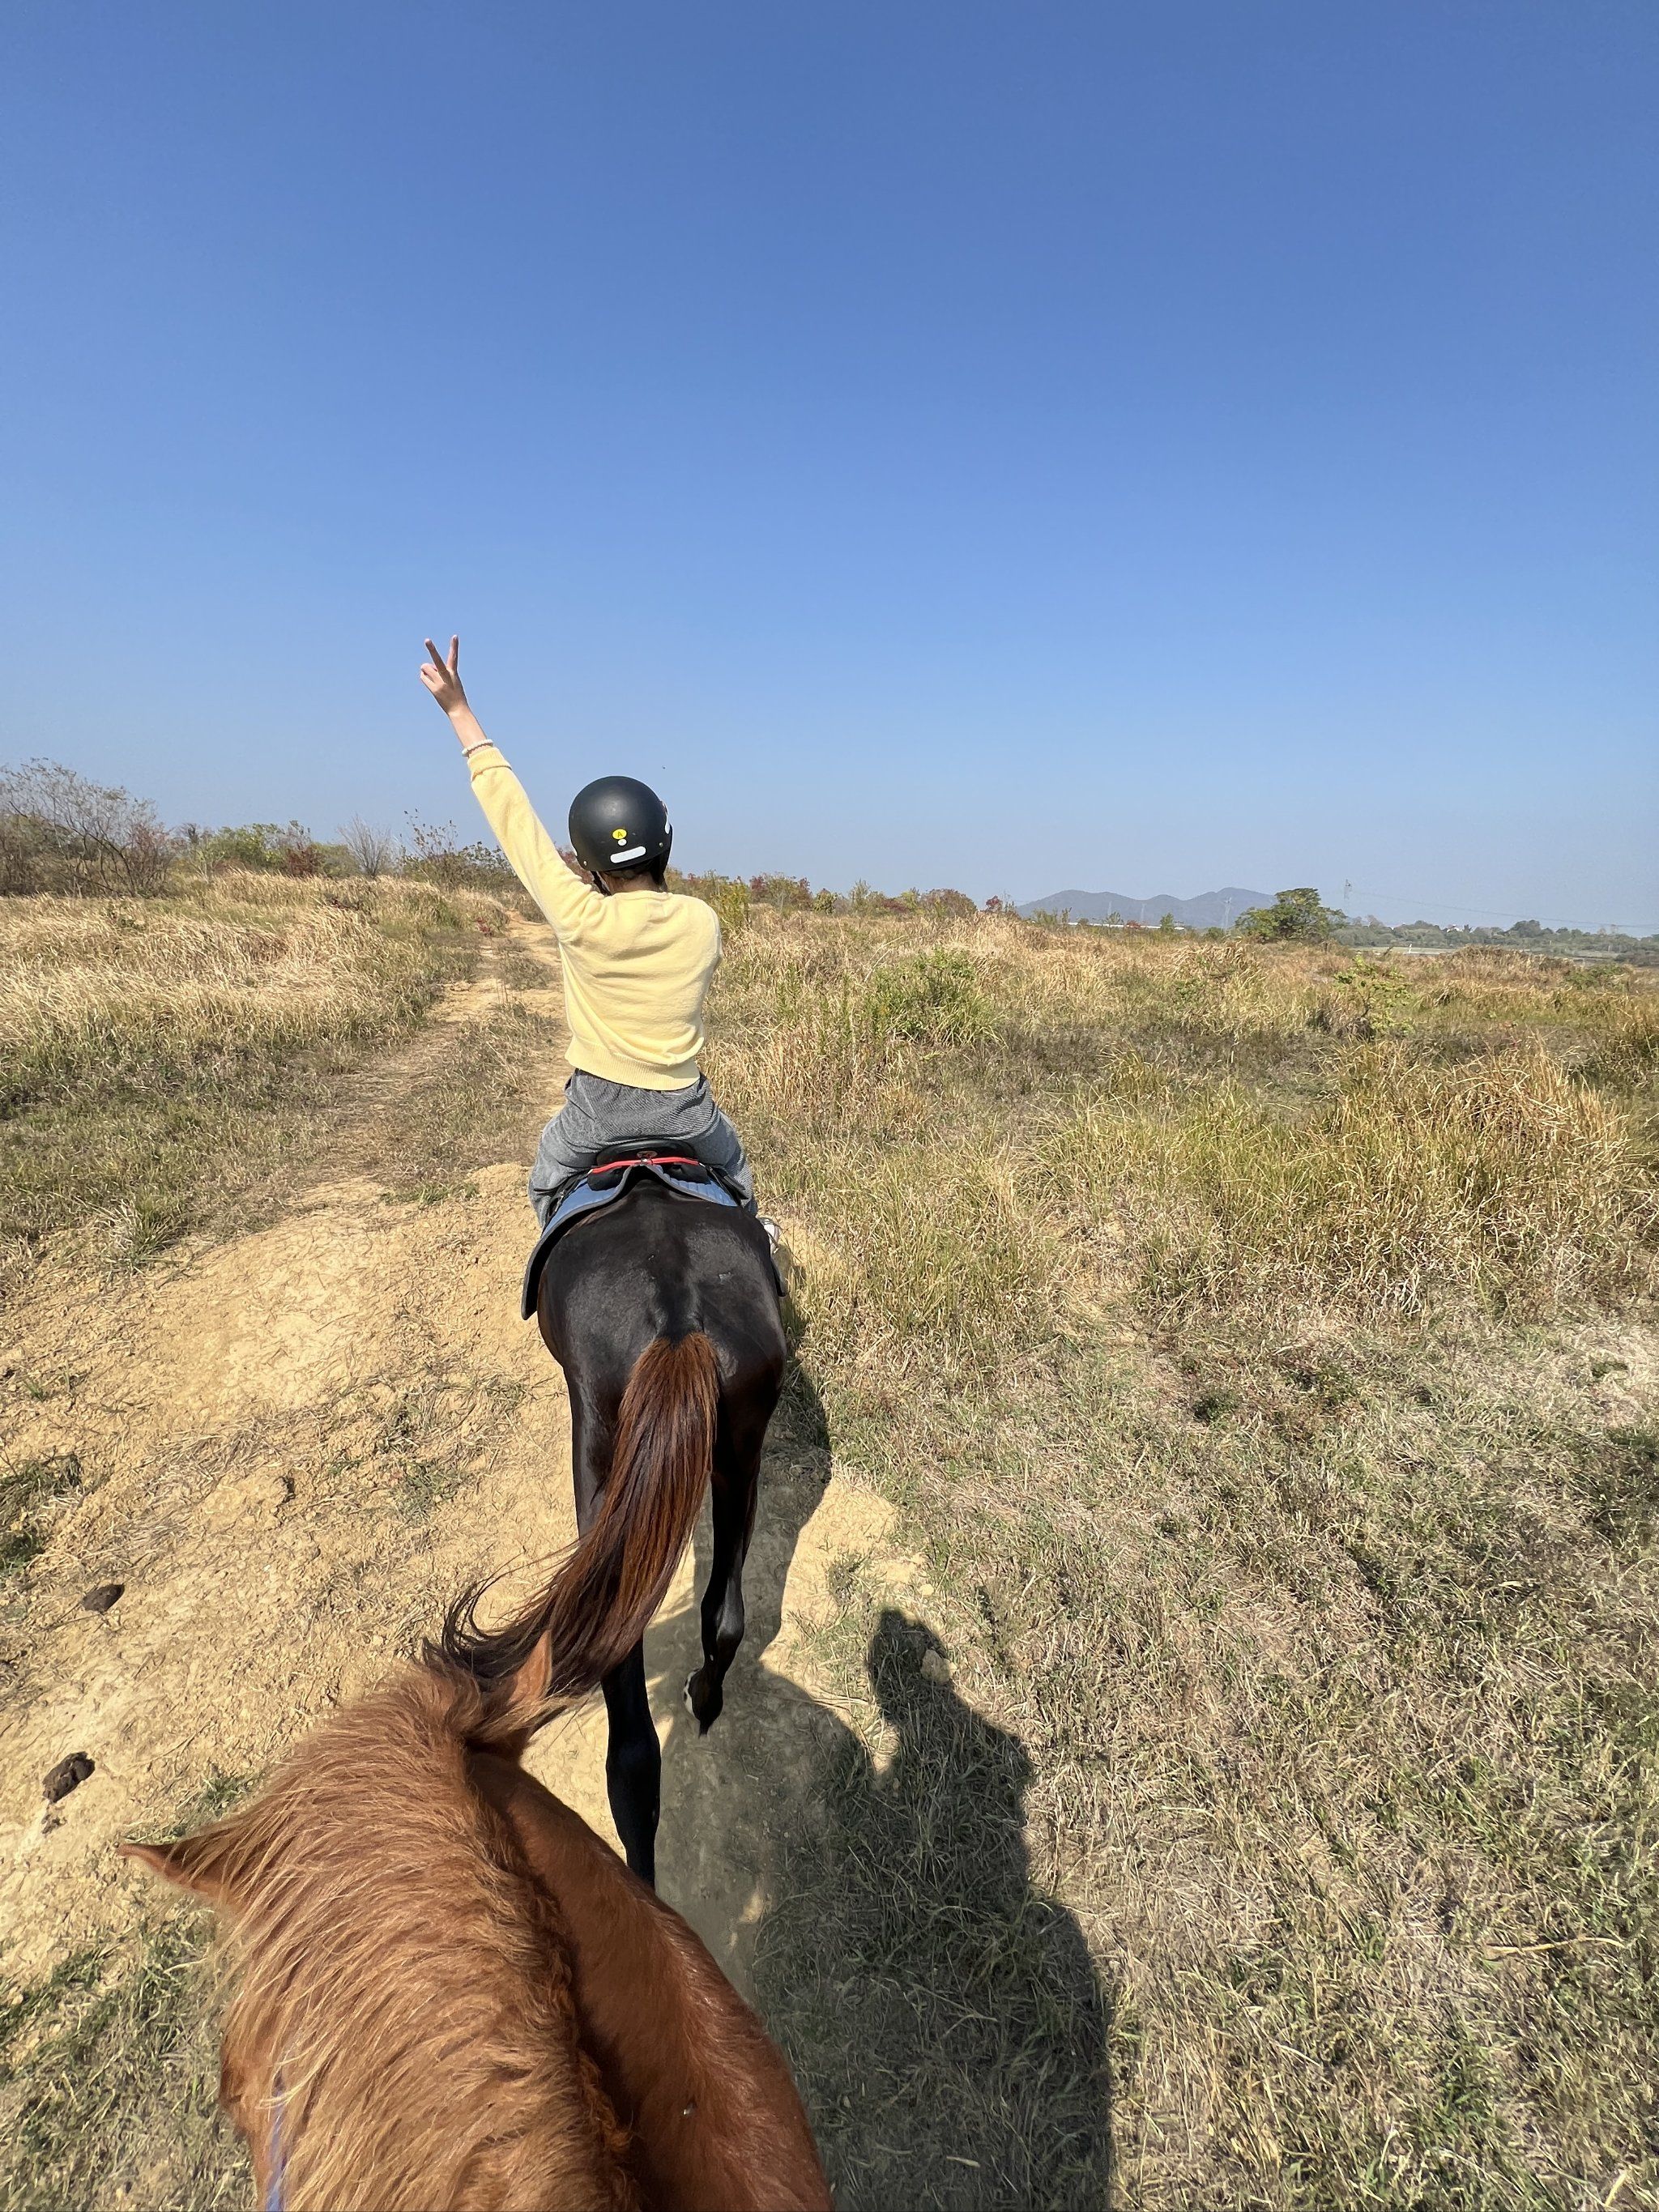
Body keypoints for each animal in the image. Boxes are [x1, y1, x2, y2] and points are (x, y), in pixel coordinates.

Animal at [443, 1169, 788, 1886]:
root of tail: (680, 1319)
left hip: (602, 1467)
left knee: (632, 1745)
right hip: (741, 1456)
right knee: (725, 1613)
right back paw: (704, 1698)